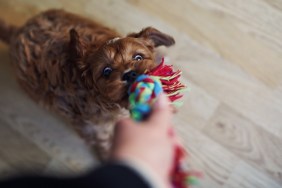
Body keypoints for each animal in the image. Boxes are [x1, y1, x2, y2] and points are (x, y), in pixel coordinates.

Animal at [0, 9, 175, 159]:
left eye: (138, 57)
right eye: (106, 71)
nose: (130, 74)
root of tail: (16, 31)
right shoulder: (96, 127)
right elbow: (104, 142)